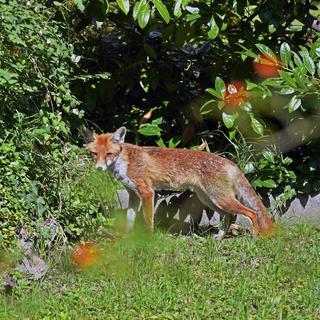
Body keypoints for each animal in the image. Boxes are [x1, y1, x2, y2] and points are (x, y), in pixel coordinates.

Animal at [84, 126, 274, 239]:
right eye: (94, 154)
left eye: (109, 154)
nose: (99, 168)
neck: (126, 161)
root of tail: (230, 162)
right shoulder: (133, 195)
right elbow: (130, 218)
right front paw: (128, 239)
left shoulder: (147, 192)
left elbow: (148, 220)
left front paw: (148, 239)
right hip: (210, 199)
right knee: (230, 216)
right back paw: (219, 237)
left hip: (220, 199)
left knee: (252, 213)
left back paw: (255, 237)